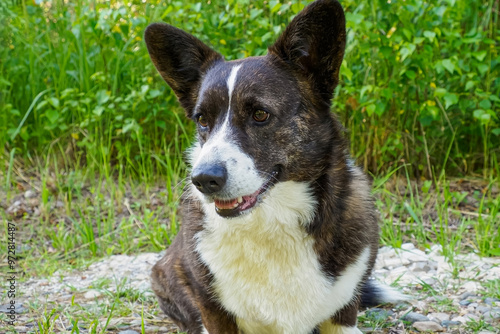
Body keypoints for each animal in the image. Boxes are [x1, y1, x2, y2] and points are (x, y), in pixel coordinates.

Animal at [144, 1, 402, 332]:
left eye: (260, 114)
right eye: (202, 120)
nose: (202, 179)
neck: (271, 222)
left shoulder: (343, 314)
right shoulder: (215, 313)